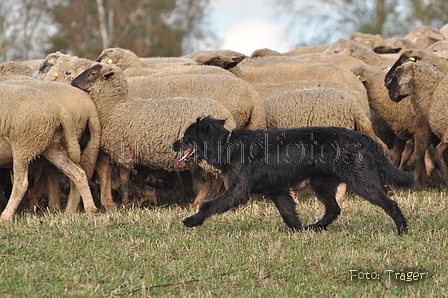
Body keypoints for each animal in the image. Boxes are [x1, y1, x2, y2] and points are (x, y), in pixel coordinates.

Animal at [71, 62, 238, 208]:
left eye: (93, 73)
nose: (72, 82)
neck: (115, 105)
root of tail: (227, 117)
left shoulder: (123, 151)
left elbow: (125, 179)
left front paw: (126, 203)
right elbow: (135, 180)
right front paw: (143, 198)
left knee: (216, 179)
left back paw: (206, 201)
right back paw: (197, 203)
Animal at [171, 116, 412, 235]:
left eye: (187, 136)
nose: (173, 144)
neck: (228, 145)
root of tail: (361, 137)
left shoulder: (238, 190)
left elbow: (209, 204)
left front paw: (192, 220)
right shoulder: (277, 191)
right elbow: (288, 214)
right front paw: (299, 232)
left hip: (361, 181)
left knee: (389, 203)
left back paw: (402, 229)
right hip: (321, 184)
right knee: (334, 209)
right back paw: (316, 228)